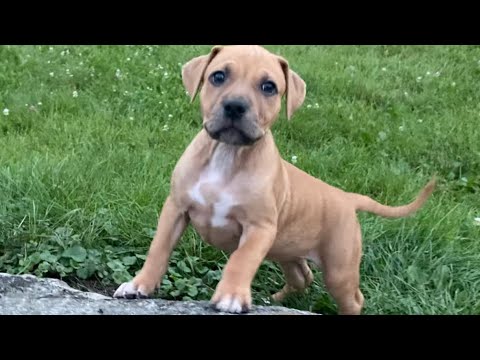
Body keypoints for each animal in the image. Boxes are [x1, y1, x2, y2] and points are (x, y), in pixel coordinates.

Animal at [113, 45, 436, 316]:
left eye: (268, 87)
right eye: (218, 76)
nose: (235, 106)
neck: (228, 154)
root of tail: (347, 197)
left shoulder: (260, 228)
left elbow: (241, 259)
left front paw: (231, 296)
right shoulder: (176, 208)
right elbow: (158, 249)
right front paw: (139, 284)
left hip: (339, 268)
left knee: (353, 299)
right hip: (287, 251)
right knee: (302, 276)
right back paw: (276, 299)